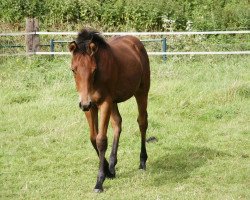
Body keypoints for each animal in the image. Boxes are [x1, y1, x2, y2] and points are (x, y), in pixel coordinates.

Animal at [68, 28, 150, 192]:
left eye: (94, 70)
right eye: (73, 70)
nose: (84, 103)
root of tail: (136, 42)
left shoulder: (104, 103)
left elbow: (101, 140)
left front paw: (99, 181)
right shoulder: (90, 107)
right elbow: (93, 137)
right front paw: (107, 171)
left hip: (141, 92)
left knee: (142, 122)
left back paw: (142, 161)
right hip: (114, 102)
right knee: (117, 123)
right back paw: (112, 165)